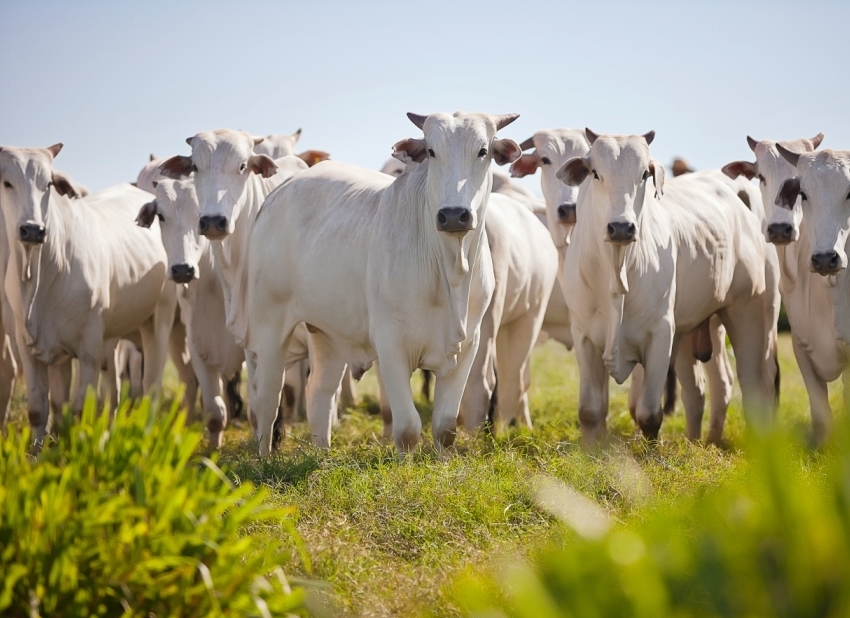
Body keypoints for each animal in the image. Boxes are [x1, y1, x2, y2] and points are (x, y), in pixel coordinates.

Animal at [0, 143, 176, 442]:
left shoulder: (88, 348)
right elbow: (43, 410)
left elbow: (81, 410)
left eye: (48, 183)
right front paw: (40, 451)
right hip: (111, 337)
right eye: (6, 182)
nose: (32, 229)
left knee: (150, 387)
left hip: (158, 321)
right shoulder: (30, 347)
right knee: (113, 391)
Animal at [245, 112, 520, 452]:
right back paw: (263, 456)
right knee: (267, 396)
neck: (450, 271)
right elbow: (407, 428)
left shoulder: (468, 345)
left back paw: (322, 453)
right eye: (431, 151)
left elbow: (445, 428)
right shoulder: (390, 345)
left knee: (319, 392)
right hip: (269, 324)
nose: (454, 215)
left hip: (327, 332)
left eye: (483, 151)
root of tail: (278, 193)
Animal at [556, 130, 776, 440]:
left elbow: (649, 414)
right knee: (703, 389)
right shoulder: (584, 335)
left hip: (750, 313)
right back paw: (702, 441)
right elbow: (590, 411)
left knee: (754, 384)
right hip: (694, 329)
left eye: (644, 174)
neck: (616, 271)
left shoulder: (661, 333)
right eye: (595, 173)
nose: (621, 227)